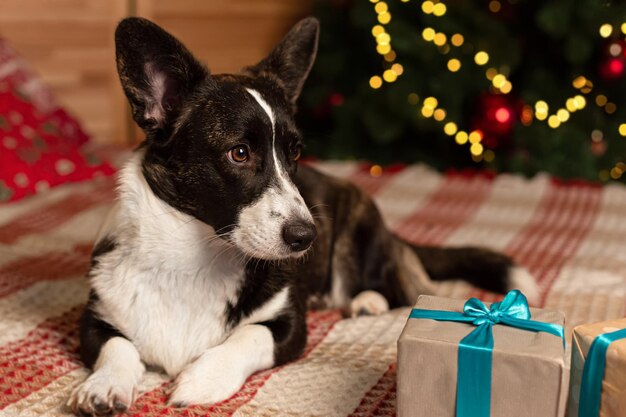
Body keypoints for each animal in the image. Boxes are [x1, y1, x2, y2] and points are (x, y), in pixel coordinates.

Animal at [68, 17, 536, 416]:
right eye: (239, 153)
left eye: (294, 152)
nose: (306, 237)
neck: (194, 258)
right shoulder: (95, 319)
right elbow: (118, 348)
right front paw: (103, 386)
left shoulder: (289, 326)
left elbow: (249, 335)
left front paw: (201, 378)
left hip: (358, 236)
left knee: (400, 288)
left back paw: (367, 301)